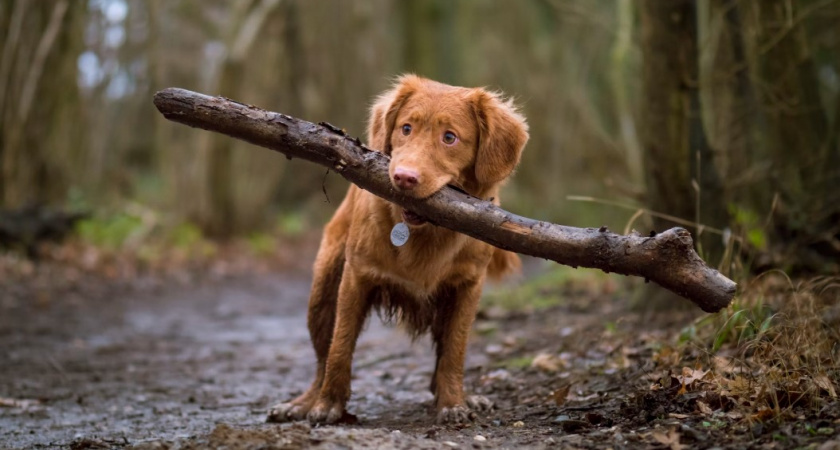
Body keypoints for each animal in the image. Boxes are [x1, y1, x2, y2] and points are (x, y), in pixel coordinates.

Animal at [266, 75, 528, 424]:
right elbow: (340, 347)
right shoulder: (356, 277)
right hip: (322, 291)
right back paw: (303, 402)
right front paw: (328, 405)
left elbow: (454, 351)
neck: (425, 233)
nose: (404, 177)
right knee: (322, 357)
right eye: (406, 128)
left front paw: (453, 403)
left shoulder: (468, 287)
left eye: (449, 137)